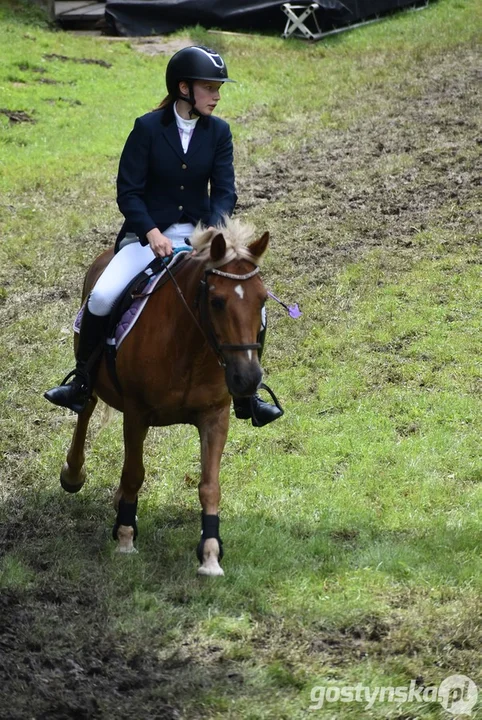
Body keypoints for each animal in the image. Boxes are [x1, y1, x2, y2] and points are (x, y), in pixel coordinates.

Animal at [58, 219, 270, 572]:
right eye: (217, 301)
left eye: (263, 300)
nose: (248, 379)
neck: (191, 346)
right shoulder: (137, 413)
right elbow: (134, 473)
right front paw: (126, 537)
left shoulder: (215, 416)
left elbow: (210, 486)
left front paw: (210, 553)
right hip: (91, 373)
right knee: (85, 406)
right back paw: (73, 474)